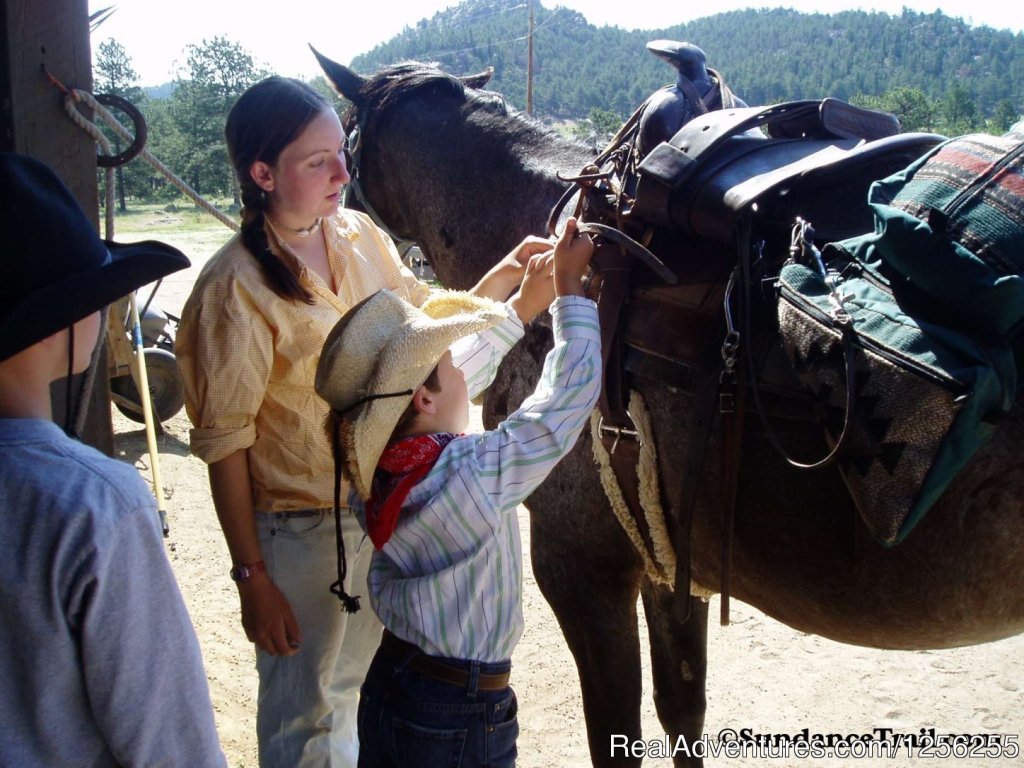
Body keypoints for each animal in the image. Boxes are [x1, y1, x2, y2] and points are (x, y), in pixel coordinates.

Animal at [313, 51, 1024, 765]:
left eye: (345, 140)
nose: (340, 228)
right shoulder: (665, 554)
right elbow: (682, 708)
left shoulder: (581, 567)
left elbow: (615, 725)